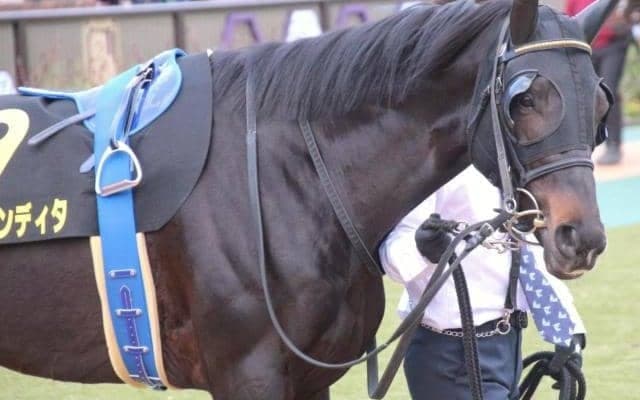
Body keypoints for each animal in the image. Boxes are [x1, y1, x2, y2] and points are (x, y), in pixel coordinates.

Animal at [0, 0, 615, 398]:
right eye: (525, 98)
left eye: (602, 104)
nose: (579, 236)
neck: (283, 177)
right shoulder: (247, 374)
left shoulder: (309, 378)